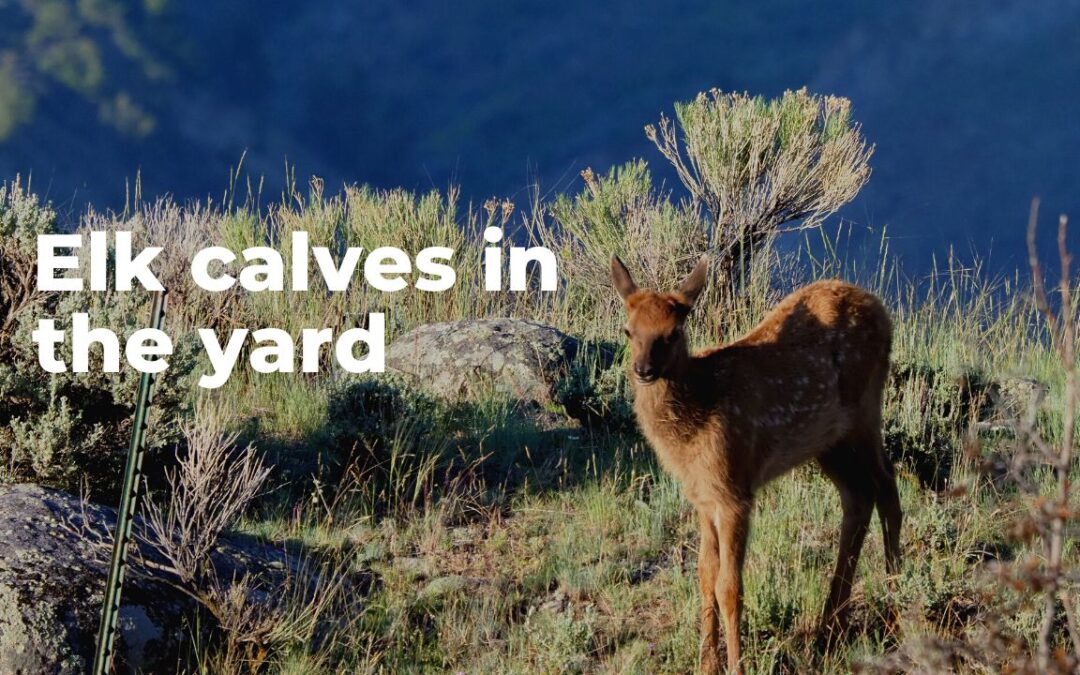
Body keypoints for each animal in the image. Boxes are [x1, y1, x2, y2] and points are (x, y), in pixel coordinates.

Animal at [613, 254, 898, 669]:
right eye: (628, 330)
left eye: (673, 332)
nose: (644, 370)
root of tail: (881, 309)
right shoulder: (703, 497)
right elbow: (704, 574)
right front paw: (706, 664)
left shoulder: (735, 489)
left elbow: (729, 586)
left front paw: (736, 666)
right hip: (829, 441)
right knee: (860, 496)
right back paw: (830, 625)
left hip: (865, 410)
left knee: (887, 485)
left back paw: (896, 605)